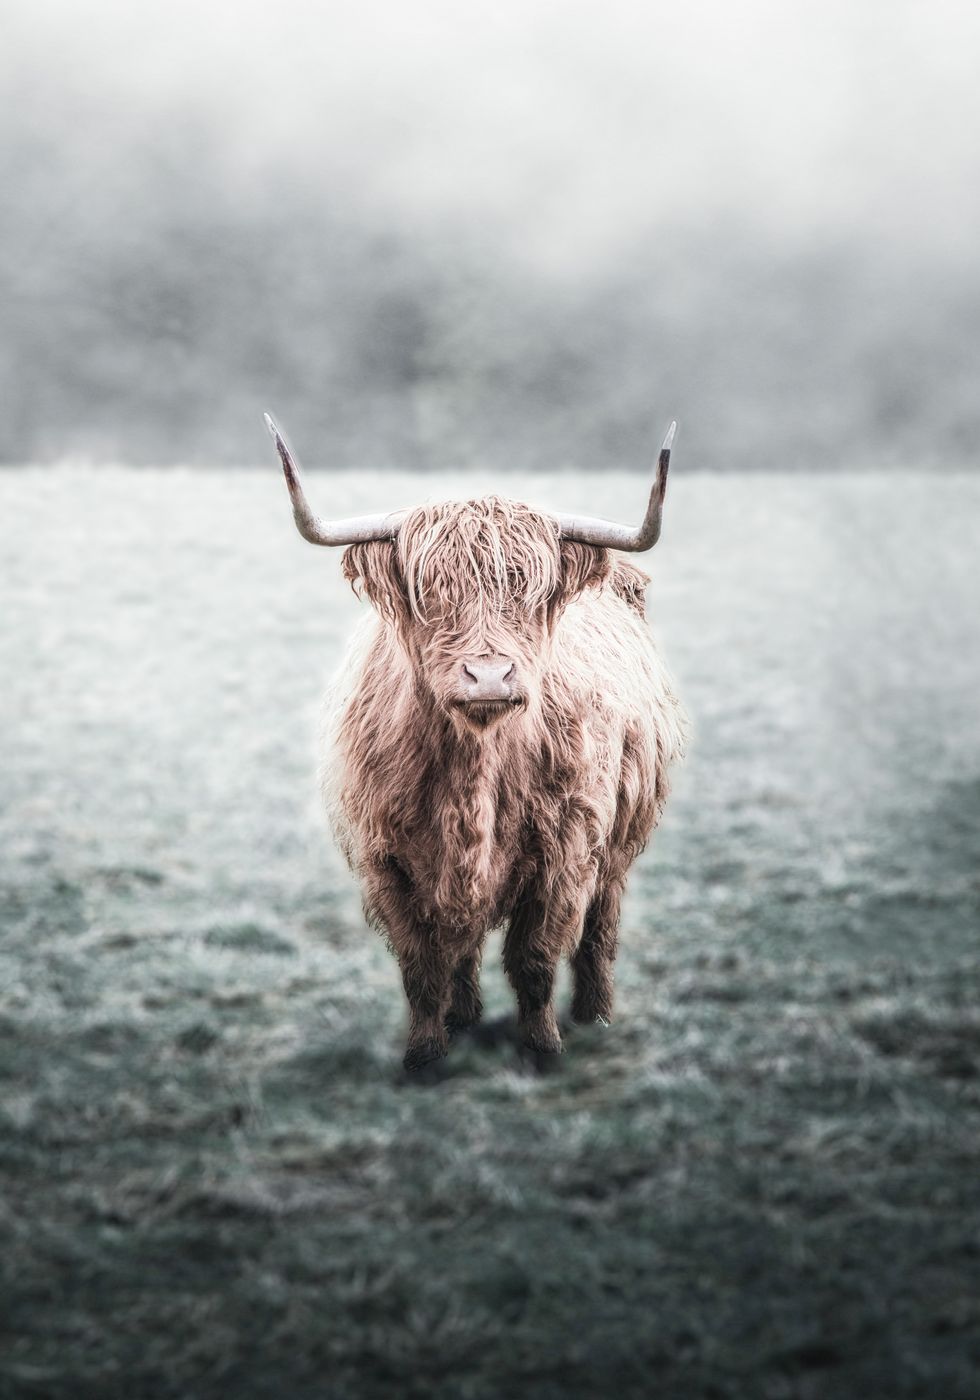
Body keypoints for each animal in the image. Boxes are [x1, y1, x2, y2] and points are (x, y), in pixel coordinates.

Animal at [266, 414, 688, 1070]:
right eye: (431, 593)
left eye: (531, 593)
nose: (489, 676)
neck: (476, 769)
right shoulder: (387, 861)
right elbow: (421, 965)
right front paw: (424, 1054)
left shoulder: (565, 852)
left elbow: (535, 958)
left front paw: (542, 1046)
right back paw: (463, 1015)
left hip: (619, 842)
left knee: (601, 927)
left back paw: (595, 1013)